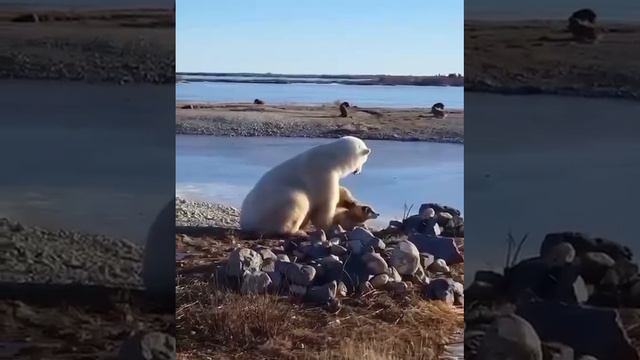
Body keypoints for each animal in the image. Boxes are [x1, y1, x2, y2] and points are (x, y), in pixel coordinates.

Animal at [239, 136, 370, 236]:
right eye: (365, 159)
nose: (358, 172)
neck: (331, 157)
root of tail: (246, 222)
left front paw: (353, 202)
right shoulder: (323, 173)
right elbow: (325, 204)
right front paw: (332, 225)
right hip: (272, 207)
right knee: (298, 201)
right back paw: (297, 232)